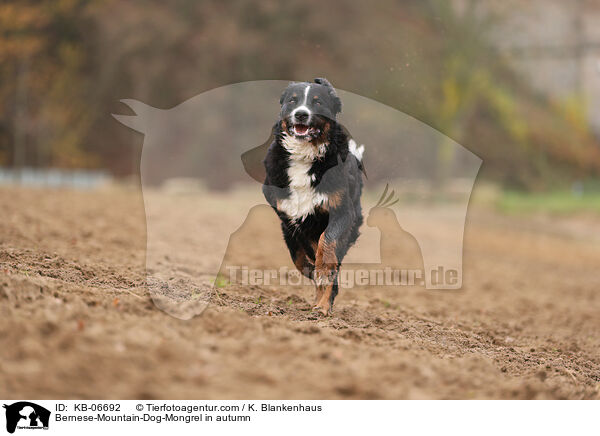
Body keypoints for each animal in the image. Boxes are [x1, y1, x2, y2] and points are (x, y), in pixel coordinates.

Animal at [264, 78, 366, 316]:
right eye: (293, 100)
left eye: (318, 102)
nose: (301, 114)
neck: (305, 156)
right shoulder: (290, 219)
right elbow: (300, 258)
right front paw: (313, 272)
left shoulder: (341, 212)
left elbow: (326, 243)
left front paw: (322, 272)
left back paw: (322, 307)